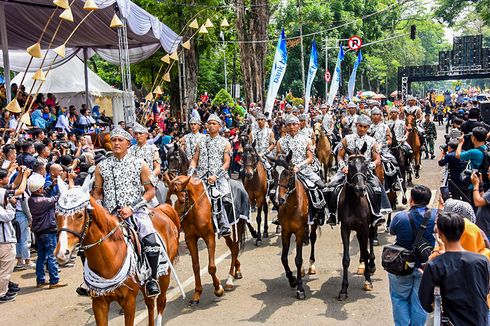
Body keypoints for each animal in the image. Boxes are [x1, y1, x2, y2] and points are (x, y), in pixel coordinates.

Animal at [54, 178, 180, 326]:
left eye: (79, 215)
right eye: (57, 215)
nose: (62, 253)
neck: (108, 260)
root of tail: (161, 210)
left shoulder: (128, 301)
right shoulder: (99, 303)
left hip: (165, 274)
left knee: (160, 302)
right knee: (150, 303)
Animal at [167, 176, 245, 306]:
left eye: (182, 199)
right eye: (168, 199)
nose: (175, 222)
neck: (196, 207)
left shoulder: (209, 237)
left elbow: (211, 267)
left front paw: (218, 289)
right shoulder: (190, 239)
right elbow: (195, 266)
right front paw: (197, 295)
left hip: (237, 225)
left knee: (235, 247)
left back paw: (229, 280)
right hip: (226, 233)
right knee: (232, 247)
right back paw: (237, 270)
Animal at [270, 152, 320, 300]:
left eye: (288, 173)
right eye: (273, 173)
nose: (278, 199)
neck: (292, 206)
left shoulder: (298, 231)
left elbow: (298, 259)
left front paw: (300, 289)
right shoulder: (285, 231)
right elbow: (283, 258)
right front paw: (292, 279)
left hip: (314, 223)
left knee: (313, 238)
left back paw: (311, 265)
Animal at [336, 144, 376, 302]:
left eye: (365, 165)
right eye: (350, 166)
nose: (360, 189)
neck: (354, 202)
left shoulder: (364, 227)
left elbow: (364, 252)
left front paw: (368, 281)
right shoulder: (345, 229)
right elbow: (346, 259)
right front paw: (343, 289)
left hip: (370, 226)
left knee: (370, 240)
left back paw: (371, 264)